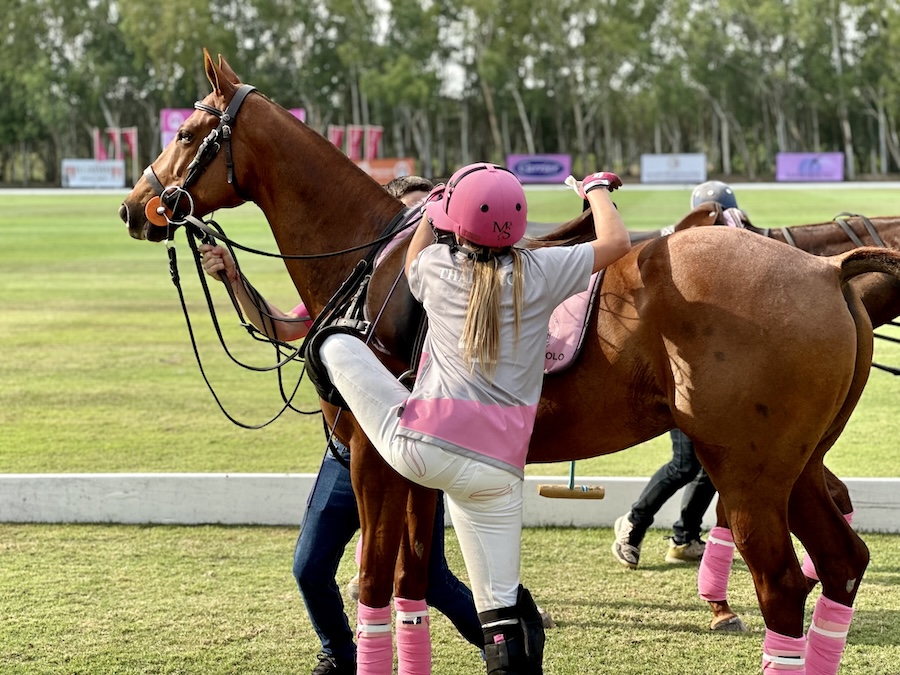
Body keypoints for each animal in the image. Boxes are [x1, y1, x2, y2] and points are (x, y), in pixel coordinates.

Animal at [119, 52, 900, 672]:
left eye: (185, 132)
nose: (134, 206)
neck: (365, 257)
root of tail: (826, 271)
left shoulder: (373, 456)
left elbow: (372, 586)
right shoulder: (418, 466)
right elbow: (411, 587)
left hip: (749, 472)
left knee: (784, 589)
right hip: (795, 468)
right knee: (842, 564)